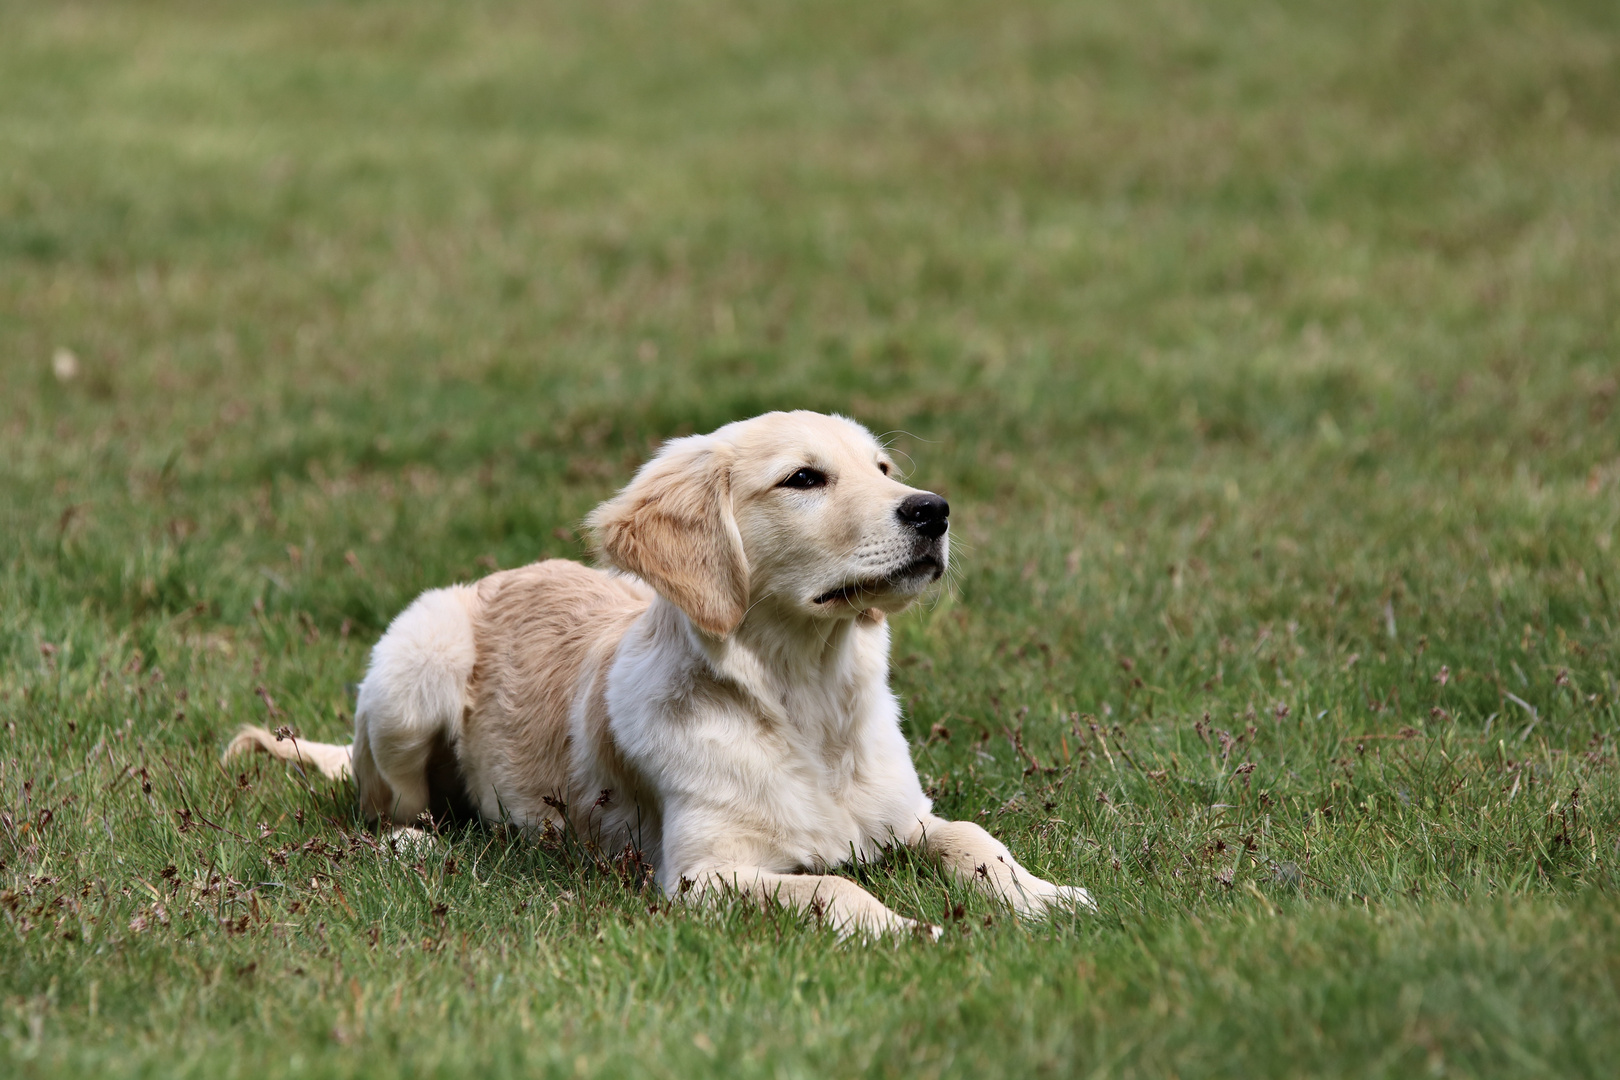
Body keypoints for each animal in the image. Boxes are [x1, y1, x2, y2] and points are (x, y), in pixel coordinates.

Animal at [228, 411, 1095, 939]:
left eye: (882, 467)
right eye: (804, 479)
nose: (933, 510)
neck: (805, 701)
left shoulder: (906, 817)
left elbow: (976, 841)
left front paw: (1048, 896)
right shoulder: (701, 875)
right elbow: (832, 886)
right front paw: (908, 928)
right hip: (415, 663)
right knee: (385, 805)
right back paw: (417, 843)